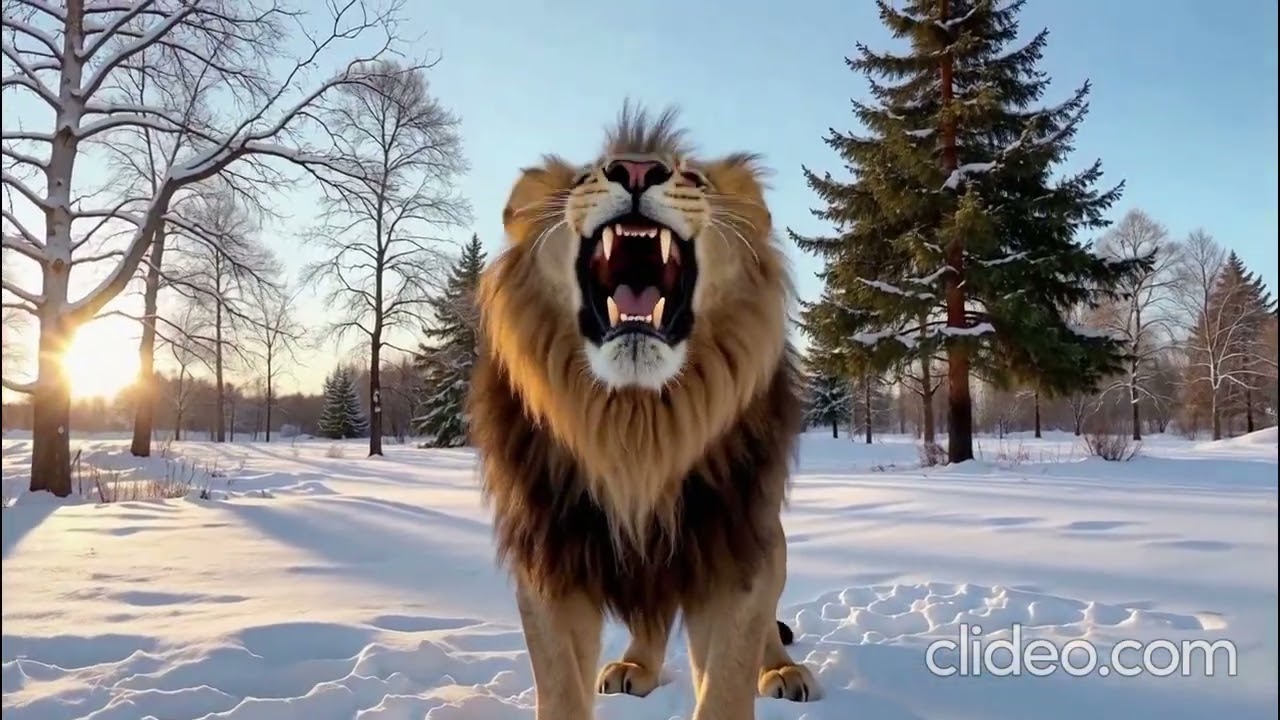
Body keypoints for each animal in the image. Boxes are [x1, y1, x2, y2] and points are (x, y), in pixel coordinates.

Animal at [467, 103, 818, 720]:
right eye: (585, 177)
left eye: (693, 178)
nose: (633, 169)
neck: (636, 429)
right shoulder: (551, 564)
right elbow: (560, 691)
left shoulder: (731, 552)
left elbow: (727, 684)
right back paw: (635, 667)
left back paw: (782, 670)